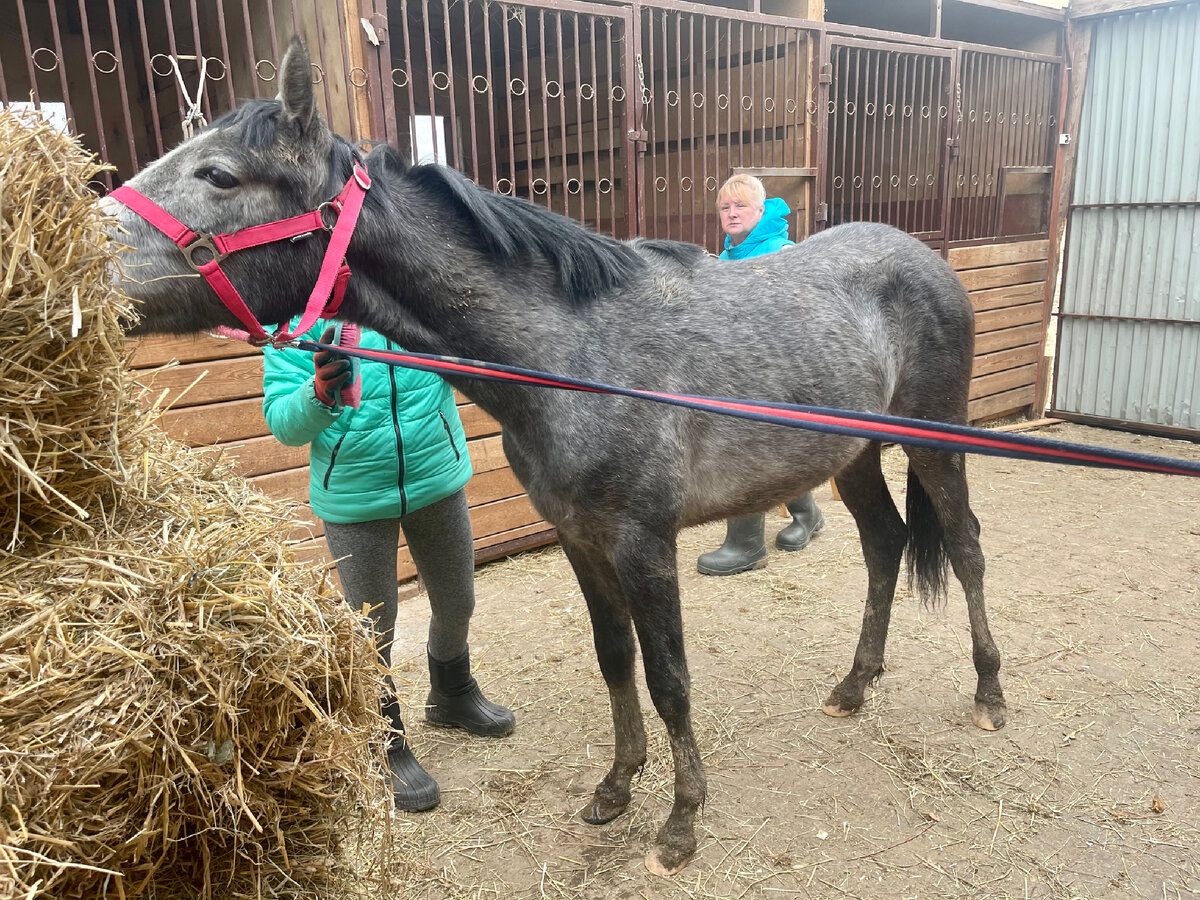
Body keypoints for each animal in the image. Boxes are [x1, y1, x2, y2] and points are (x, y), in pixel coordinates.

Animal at [110, 38, 1003, 878]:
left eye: (219, 174)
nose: (90, 247)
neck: (574, 354)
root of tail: (922, 256)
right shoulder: (581, 538)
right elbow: (615, 660)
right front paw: (615, 788)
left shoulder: (644, 544)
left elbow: (670, 678)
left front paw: (680, 824)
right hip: (853, 457)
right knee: (885, 545)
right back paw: (854, 686)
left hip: (935, 442)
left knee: (963, 548)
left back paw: (990, 695)